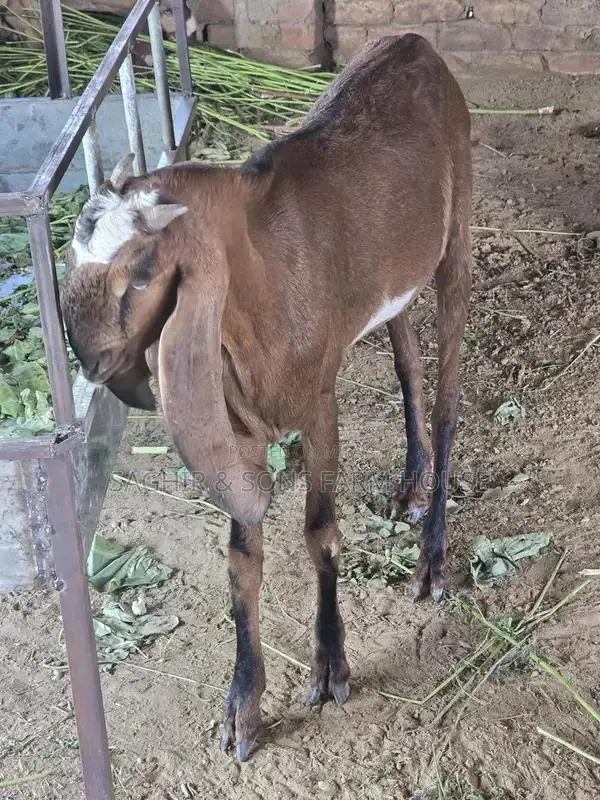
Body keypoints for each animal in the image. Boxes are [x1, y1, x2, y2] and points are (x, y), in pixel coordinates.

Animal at [61, 33, 473, 762]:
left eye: (140, 275)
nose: (86, 357)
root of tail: (414, 43)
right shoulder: (238, 426)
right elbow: (242, 561)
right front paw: (243, 709)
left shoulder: (319, 404)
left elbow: (319, 533)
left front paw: (331, 668)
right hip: (398, 280)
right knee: (409, 363)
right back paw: (412, 484)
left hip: (457, 241)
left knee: (449, 396)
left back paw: (431, 559)